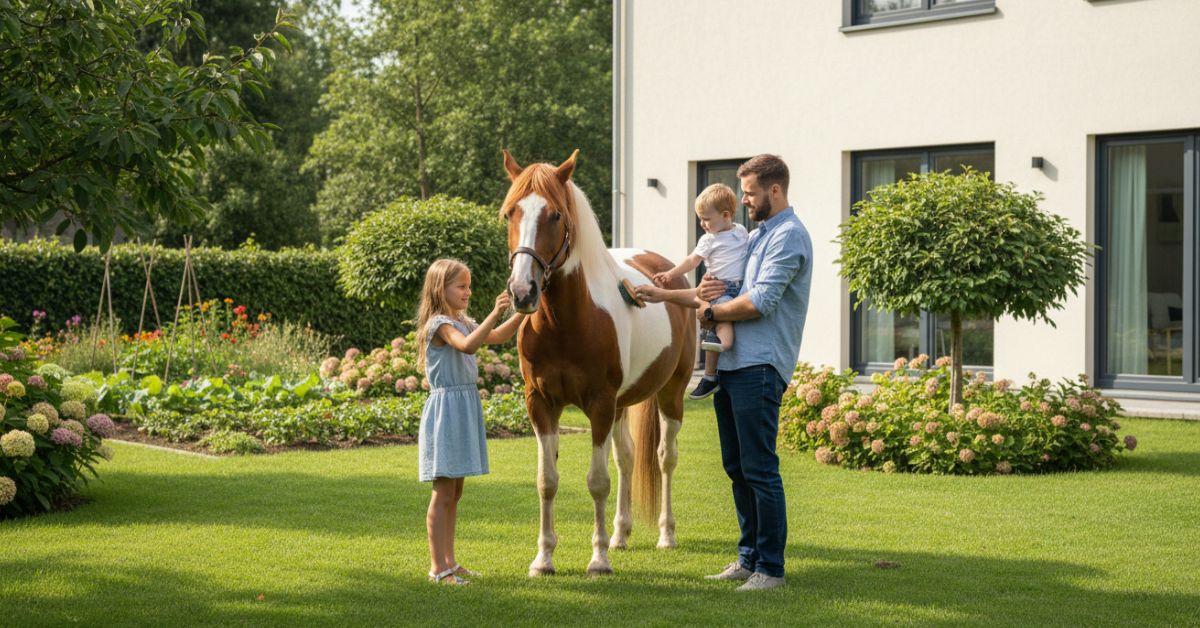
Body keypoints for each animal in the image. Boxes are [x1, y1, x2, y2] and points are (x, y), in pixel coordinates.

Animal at [501, 149, 697, 576]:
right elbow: (547, 480)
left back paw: (665, 535)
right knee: (626, 458)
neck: (566, 322)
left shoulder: (600, 404)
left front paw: (598, 559)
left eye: (555, 215)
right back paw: (621, 534)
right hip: (623, 405)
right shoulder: (541, 404)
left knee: (665, 458)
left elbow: (597, 481)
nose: (523, 292)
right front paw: (544, 558)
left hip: (670, 394)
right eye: (509, 213)